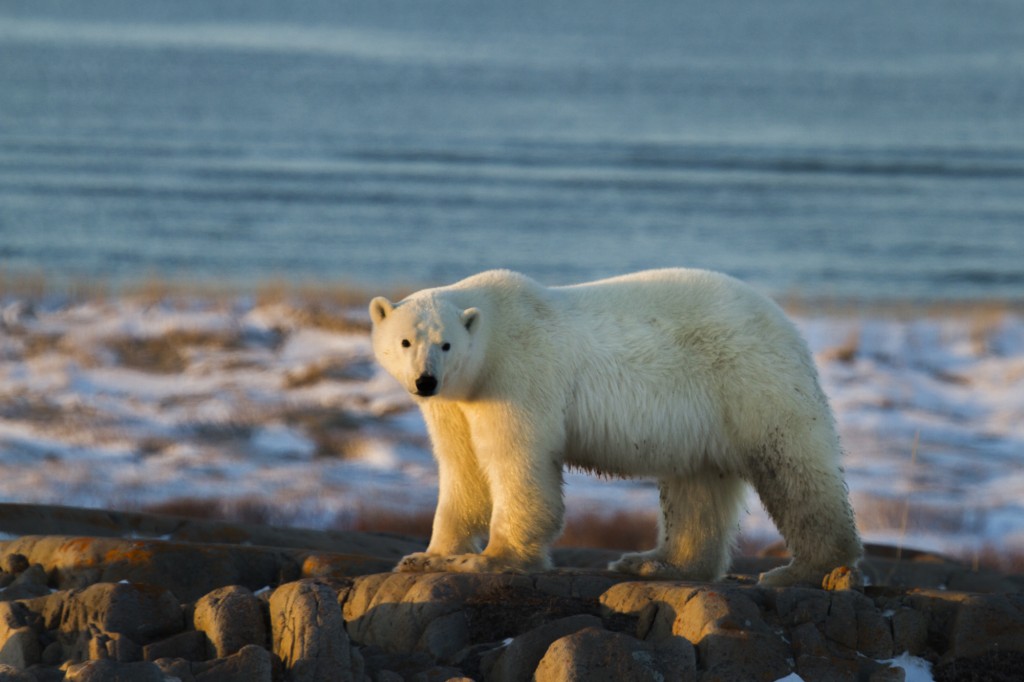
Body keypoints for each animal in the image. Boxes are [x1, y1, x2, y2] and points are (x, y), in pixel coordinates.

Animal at [369, 268, 862, 587]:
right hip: (705, 415)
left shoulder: (518, 374)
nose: (425, 381)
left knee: (793, 470)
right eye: (405, 341)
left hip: (751, 382)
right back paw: (656, 563)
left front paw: (493, 561)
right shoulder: (457, 403)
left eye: (446, 344)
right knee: (698, 486)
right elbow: (463, 467)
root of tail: (785, 325)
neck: (494, 329)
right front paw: (427, 557)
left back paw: (804, 569)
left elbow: (517, 460)